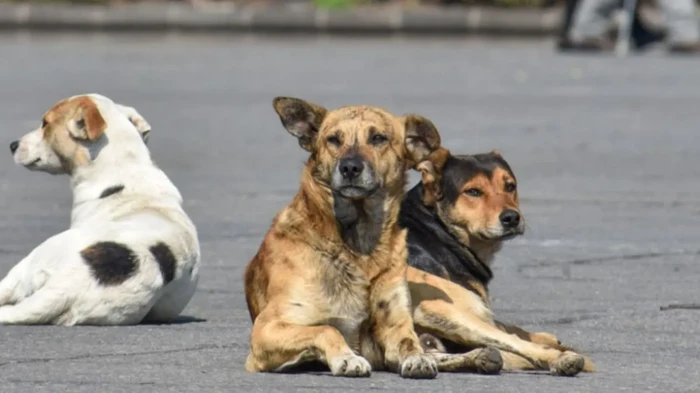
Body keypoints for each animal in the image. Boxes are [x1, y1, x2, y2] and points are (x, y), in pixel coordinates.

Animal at [243, 96, 474, 378]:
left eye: (378, 138)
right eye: (333, 139)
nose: (350, 167)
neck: (358, 245)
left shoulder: (394, 322)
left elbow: (408, 342)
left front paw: (418, 358)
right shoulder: (267, 329)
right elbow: (326, 328)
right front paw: (347, 357)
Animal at [402, 149, 592, 376]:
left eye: (510, 186)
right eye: (473, 192)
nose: (512, 218)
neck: (435, 227)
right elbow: (511, 332)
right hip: (442, 311)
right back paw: (562, 359)